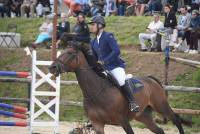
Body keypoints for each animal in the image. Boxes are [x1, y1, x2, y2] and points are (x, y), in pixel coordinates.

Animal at [48, 45, 188, 133]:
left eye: (70, 53)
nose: (52, 67)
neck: (95, 92)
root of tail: (151, 79)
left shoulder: (123, 121)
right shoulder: (98, 124)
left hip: (161, 106)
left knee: (176, 120)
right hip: (143, 116)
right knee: (159, 130)